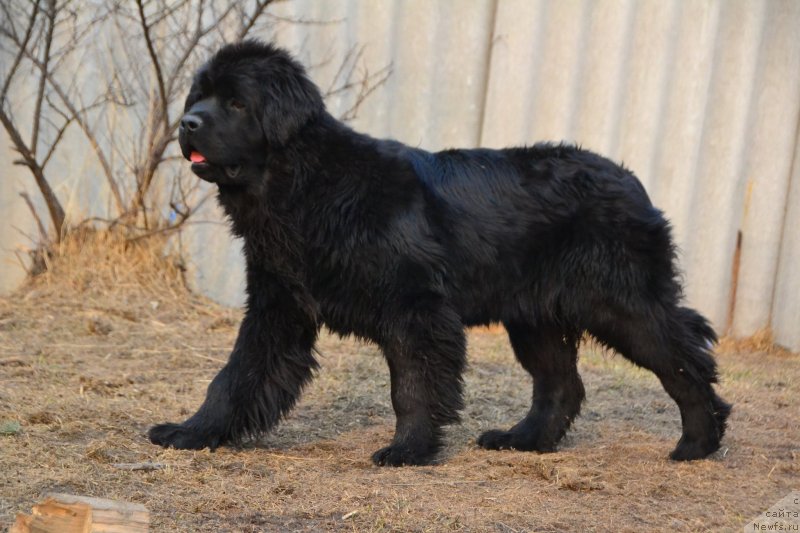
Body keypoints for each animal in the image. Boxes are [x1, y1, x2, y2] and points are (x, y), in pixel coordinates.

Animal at [150, 40, 732, 466]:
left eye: (236, 103)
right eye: (197, 97)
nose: (187, 123)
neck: (306, 188)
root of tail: (633, 182)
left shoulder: (417, 310)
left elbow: (412, 387)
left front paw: (408, 451)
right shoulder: (278, 306)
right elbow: (233, 378)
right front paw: (193, 431)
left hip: (623, 305)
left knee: (685, 360)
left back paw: (697, 443)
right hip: (534, 315)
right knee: (562, 385)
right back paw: (523, 441)